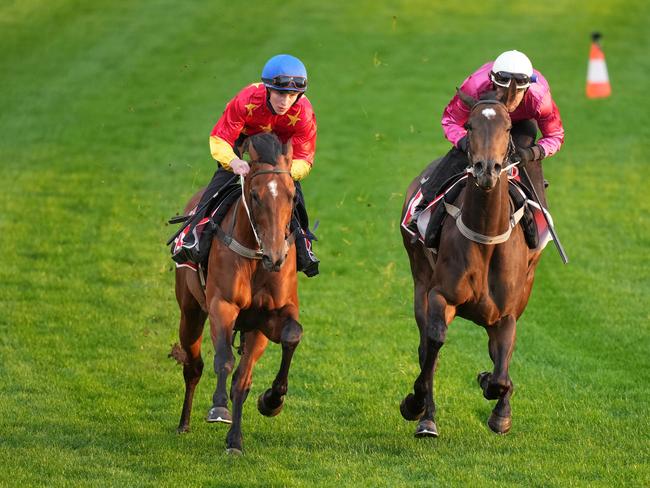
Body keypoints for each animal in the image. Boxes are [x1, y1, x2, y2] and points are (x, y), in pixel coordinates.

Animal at [170, 132, 302, 454]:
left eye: (292, 196)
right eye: (254, 195)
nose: (276, 256)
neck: (257, 258)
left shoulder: (269, 318)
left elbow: (287, 340)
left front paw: (270, 402)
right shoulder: (223, 305)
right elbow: (223, 360)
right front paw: (219, 408)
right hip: (190, 311)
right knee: (194, 366)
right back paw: (184, 423)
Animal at [400, 89, 540, 436]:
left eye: (507, 128)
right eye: (469, 126)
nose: (486, 169)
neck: (485, 237)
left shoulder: (506, 315)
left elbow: (501, 374)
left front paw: (498, 407)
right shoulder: (441, 296)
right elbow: (433, 346)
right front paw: (415, 404)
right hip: (419, 280)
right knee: (428, 349)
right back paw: (426, 417)